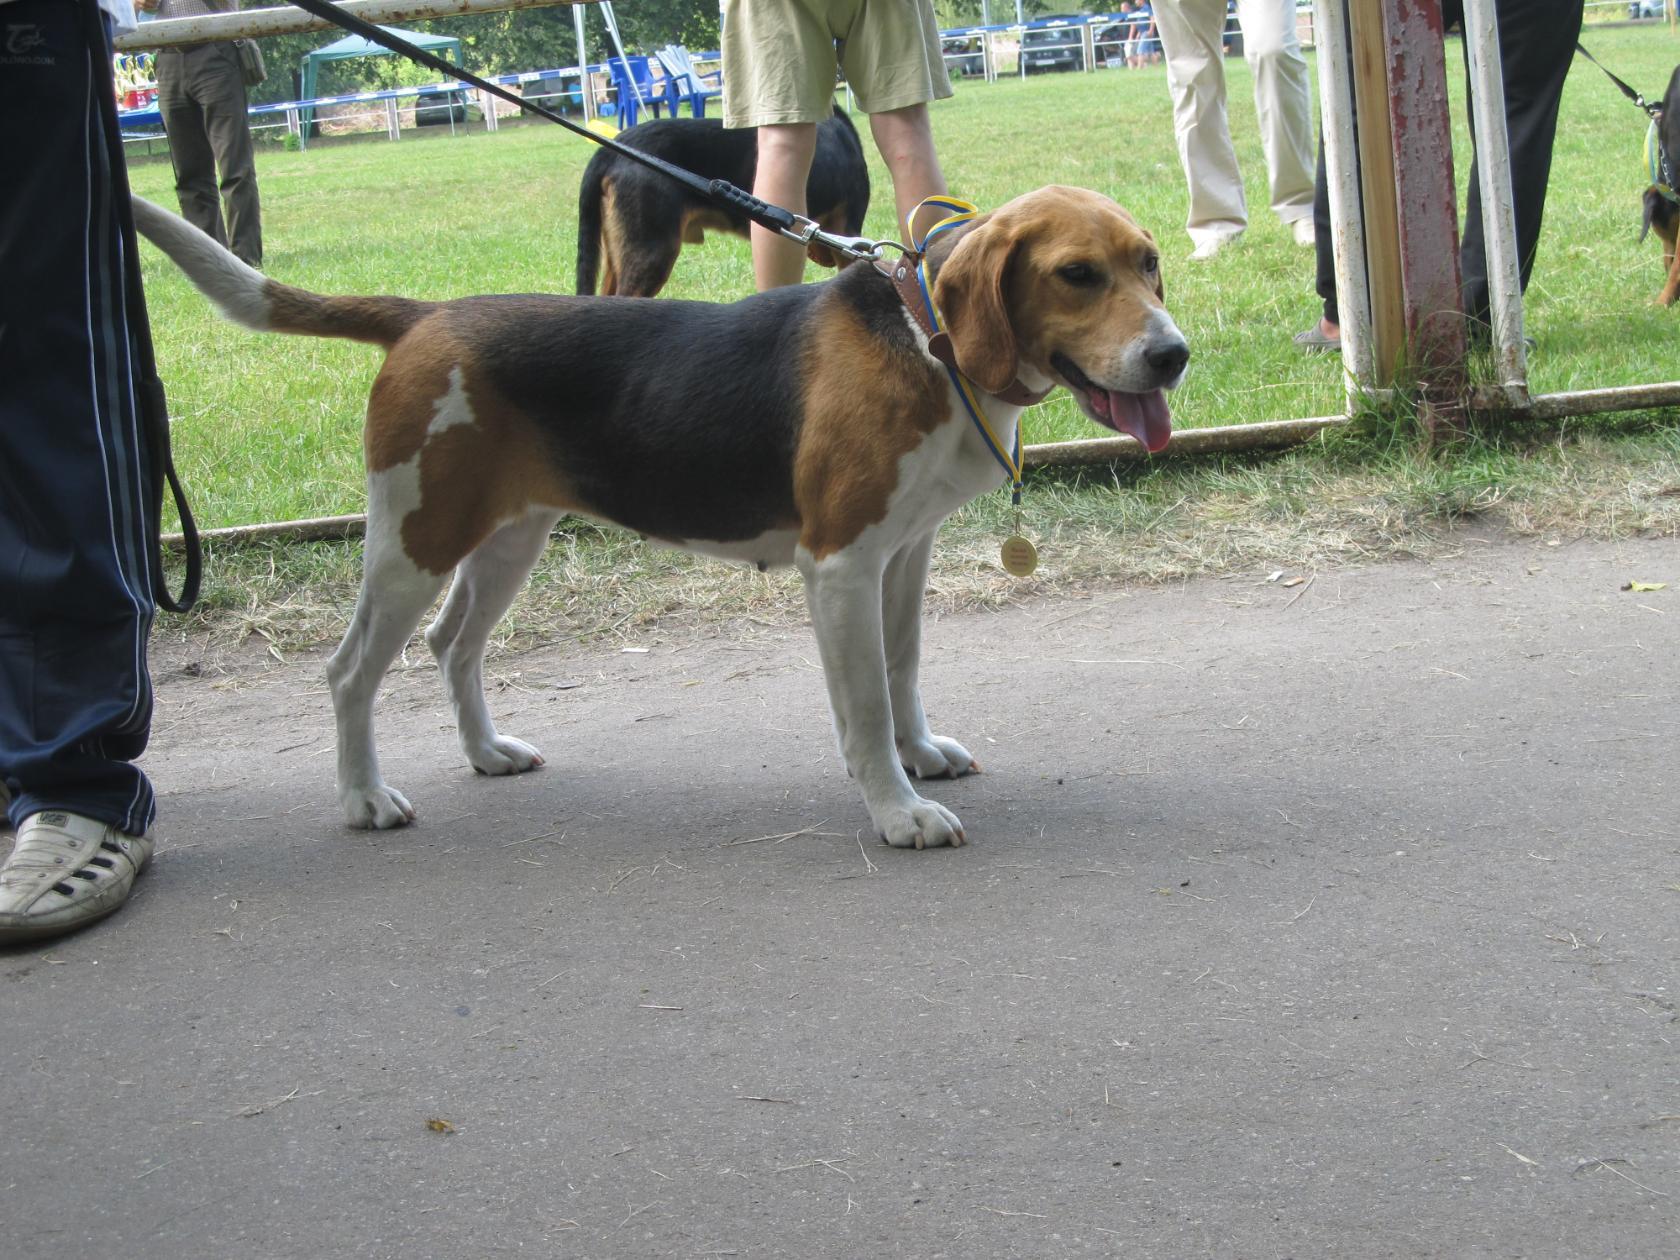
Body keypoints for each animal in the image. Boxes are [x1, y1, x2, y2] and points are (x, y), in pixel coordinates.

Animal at [131, 187, 1189, 853]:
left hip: (509, 536)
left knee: (451, 646)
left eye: (1150, 265)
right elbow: (864, 707)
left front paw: (921, 756)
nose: (1173, 355)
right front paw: (897, 811)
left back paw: (485, 753)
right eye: (1077, 274)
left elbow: (903, 669)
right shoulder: (841, 566)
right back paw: (361, 798)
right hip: (413, 540)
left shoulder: (904, 553)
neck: (925, 336)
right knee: (351, 671)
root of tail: (426, 315)